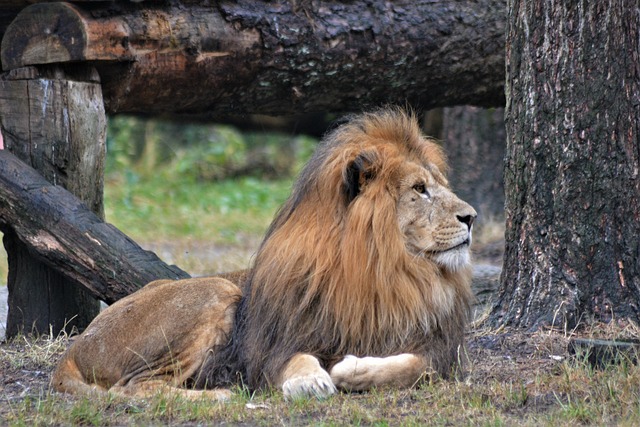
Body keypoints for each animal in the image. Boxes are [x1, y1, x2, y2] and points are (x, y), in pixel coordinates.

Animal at [52, 108, 478, 402]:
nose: (472, 217)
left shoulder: (440, 349)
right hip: (215, 291)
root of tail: (75, 347)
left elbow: (412, 367)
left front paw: (352, 370)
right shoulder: (274, 344)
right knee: (132, 388)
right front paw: (310, 381)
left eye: (440, 185)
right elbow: (294, 359)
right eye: (420, 189)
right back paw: (221, 396)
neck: (385, 272)